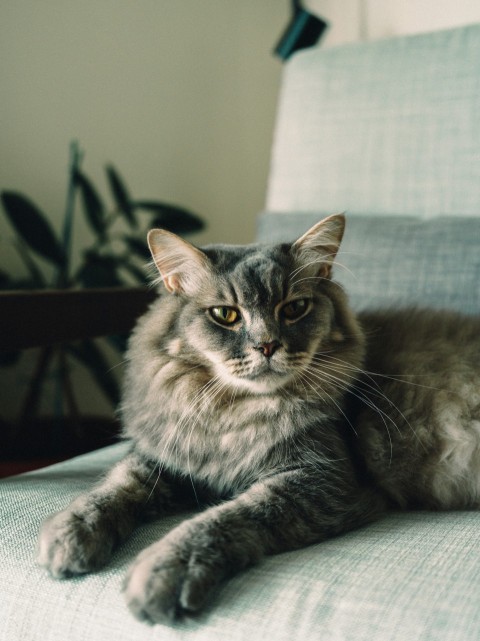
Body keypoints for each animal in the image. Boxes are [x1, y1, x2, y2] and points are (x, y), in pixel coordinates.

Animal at [36, 214, 480, 620]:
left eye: (295, 308)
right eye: (225, 315)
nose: (267, 345)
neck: (232, 413)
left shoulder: (322, 479)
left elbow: (225, 517)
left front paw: (164, 571)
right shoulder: (172, 459)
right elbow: (115, 485)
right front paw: (69, 535)